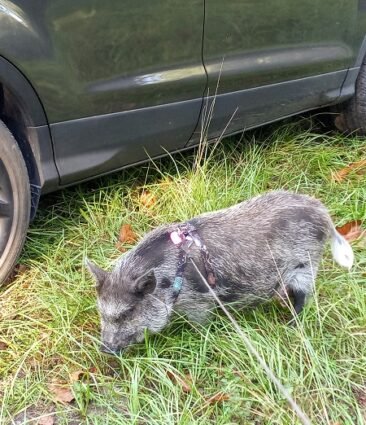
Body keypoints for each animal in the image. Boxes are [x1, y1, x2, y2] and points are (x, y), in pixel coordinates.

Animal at [87, 190, 354, 352]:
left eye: (128, 311)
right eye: (101, 311)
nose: (105, 349)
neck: (172, 278)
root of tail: (322, 211)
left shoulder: (200, 302)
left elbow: (201, 325)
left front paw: (199, 338)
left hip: (306, 265)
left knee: (303, 298)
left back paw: (289, 326)